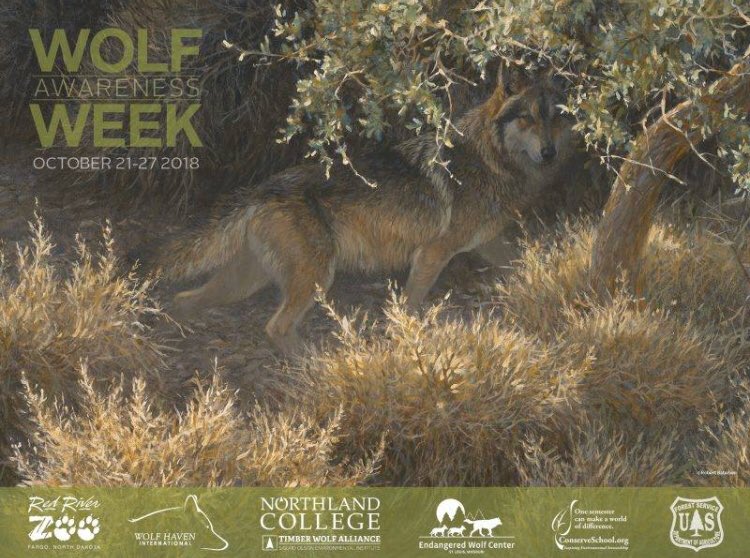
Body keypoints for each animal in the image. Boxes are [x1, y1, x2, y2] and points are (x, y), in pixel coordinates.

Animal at [162, 64, 576, 353]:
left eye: (556, 116)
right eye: (527, 118)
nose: (550, 153)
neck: (490, 161)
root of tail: (261, 188)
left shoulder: (486, 244)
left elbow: (523, 261)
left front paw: (547, 282)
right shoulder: (432, 254)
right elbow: (410, 306)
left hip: (245, 282)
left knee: (184, 300)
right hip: (315, 278)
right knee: (275, 327)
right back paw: (316, 365)